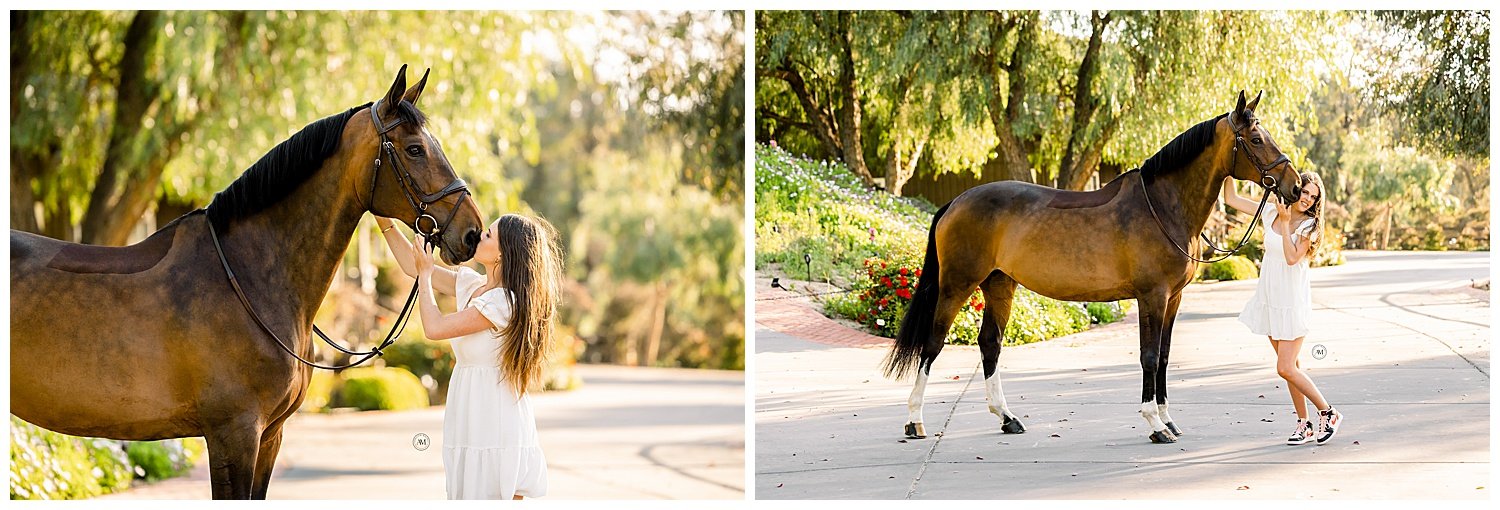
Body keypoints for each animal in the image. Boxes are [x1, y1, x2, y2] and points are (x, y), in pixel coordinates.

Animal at [876, 90, 1302, 441]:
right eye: (1257, 139)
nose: (1295, 186)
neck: (1163, 207)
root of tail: (956, 202)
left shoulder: (1173, 299)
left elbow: (1164, 356)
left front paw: (1169, 419)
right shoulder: (1151, 297)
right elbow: (1149, 356)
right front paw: (1155, 424)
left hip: (999, 284)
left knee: (990, 343)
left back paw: (1007, 418)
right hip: (957, 285)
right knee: (933, 343)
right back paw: (914, 421)